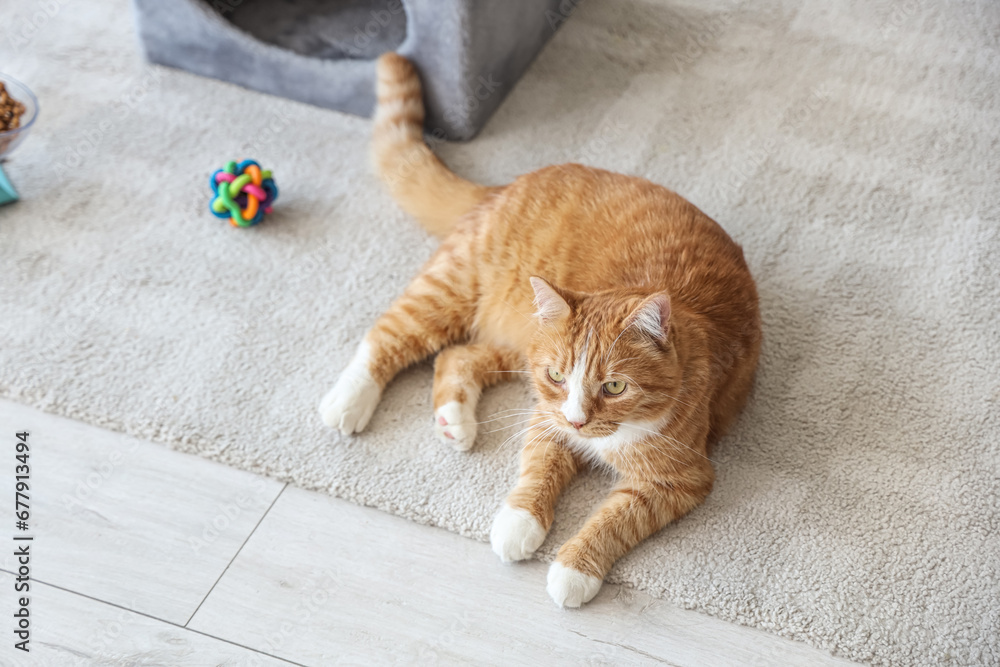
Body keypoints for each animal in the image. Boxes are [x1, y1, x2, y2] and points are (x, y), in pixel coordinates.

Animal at [318, 52, 756, 608]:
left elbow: (617, 518)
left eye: (615, 386)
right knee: (388, 335)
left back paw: (454, 418)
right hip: (452, 291)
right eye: (558, 376)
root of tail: (510, 184)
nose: (578, 420)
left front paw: (574, 569)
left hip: (512, 342)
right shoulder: (547, 415)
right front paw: (518, 522)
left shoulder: (679, 479)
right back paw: (348, 401)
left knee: (456, 356)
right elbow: (539, 466)